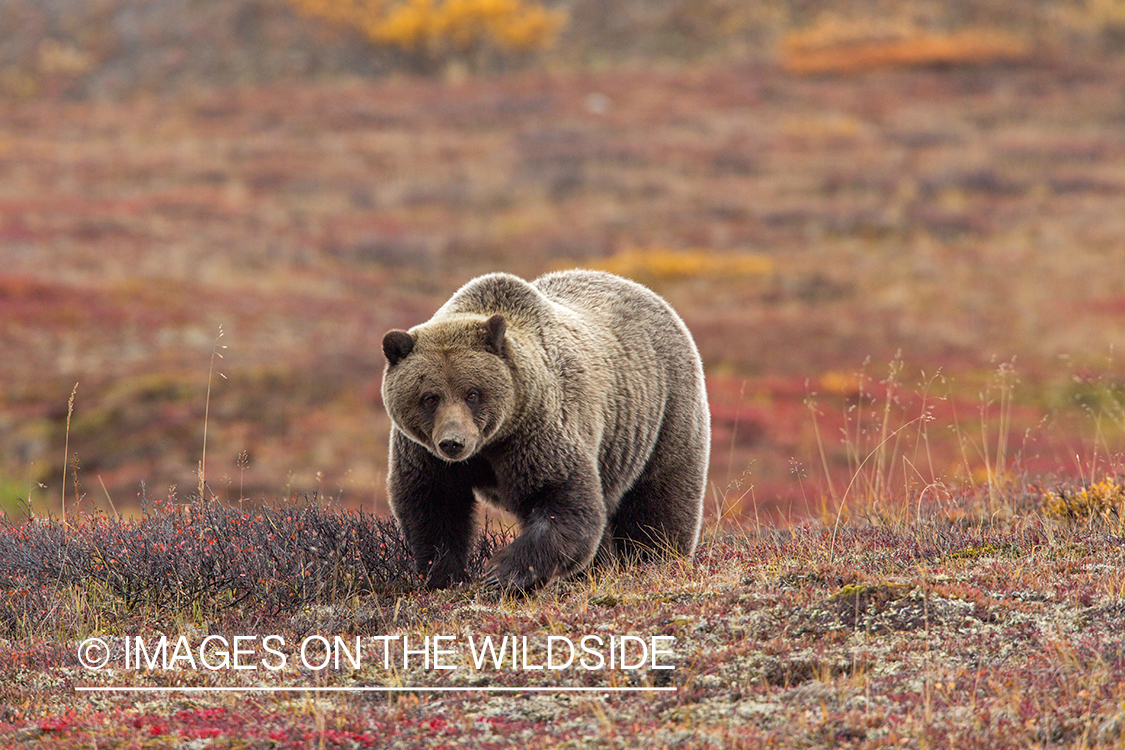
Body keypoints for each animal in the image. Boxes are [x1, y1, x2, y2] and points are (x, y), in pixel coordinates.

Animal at [382, 269, 706, 593]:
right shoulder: (424, 453)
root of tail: (649, 293)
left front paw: (501, 572)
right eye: (430, 397)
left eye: (472, 393)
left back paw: (657, 559)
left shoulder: (538, 431)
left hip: (661, 412)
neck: (493, 441)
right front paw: (445, 575)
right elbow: (433, 504)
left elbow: (563, 500)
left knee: (659, 501)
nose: (453, 442)